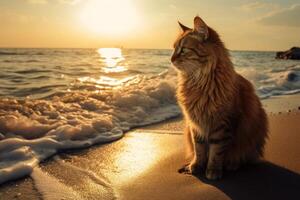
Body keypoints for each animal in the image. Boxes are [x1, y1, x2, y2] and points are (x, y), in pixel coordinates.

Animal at [172, 16, 268, 180]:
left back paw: (232, 165)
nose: (171, 59)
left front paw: (213, 170)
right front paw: (196, 166)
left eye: (183, 50)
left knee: (243, 157)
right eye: (173, 49)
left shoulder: (222, 125)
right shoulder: (195, 125)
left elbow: (216, 152)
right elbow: (199, 149)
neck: (200, 83)